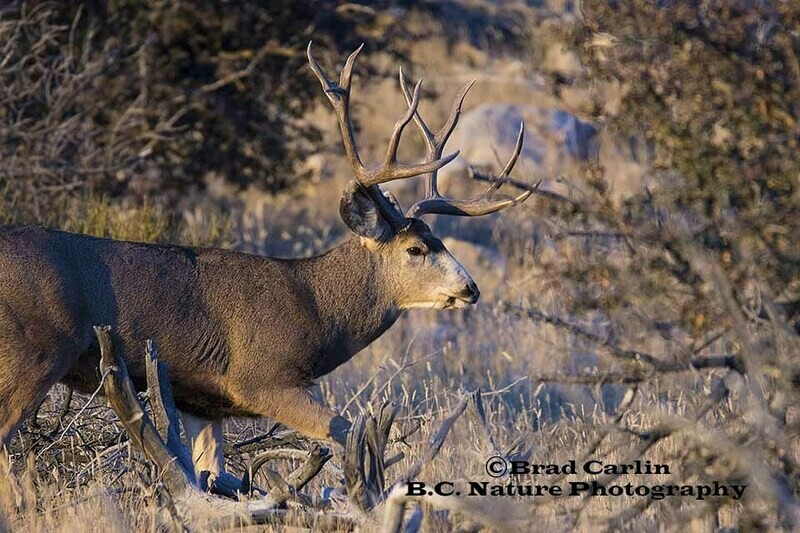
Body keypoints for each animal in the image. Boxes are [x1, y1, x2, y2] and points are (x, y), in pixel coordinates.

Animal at [0, 43, 531, 493]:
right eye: (417, 249)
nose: (471, 288)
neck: (317, 306)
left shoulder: (202, 403)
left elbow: (209, 476)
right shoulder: (261, 378)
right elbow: (347, 435)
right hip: (35, 351)